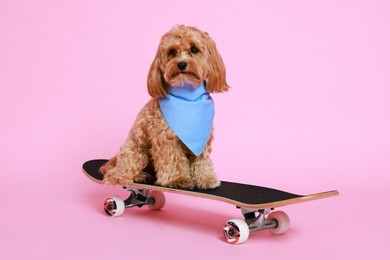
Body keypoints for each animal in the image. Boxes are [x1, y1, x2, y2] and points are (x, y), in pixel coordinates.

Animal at [100, 24, 229, 189]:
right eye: (172, 52)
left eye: (194, 49)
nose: (181, 64)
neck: (187, 97)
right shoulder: (165, 138)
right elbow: (172, 160)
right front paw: (177, 179)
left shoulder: (202, 140)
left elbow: (202, 162)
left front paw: (206, 179)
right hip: (135, 152)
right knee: (119, 172)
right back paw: (131, 176)